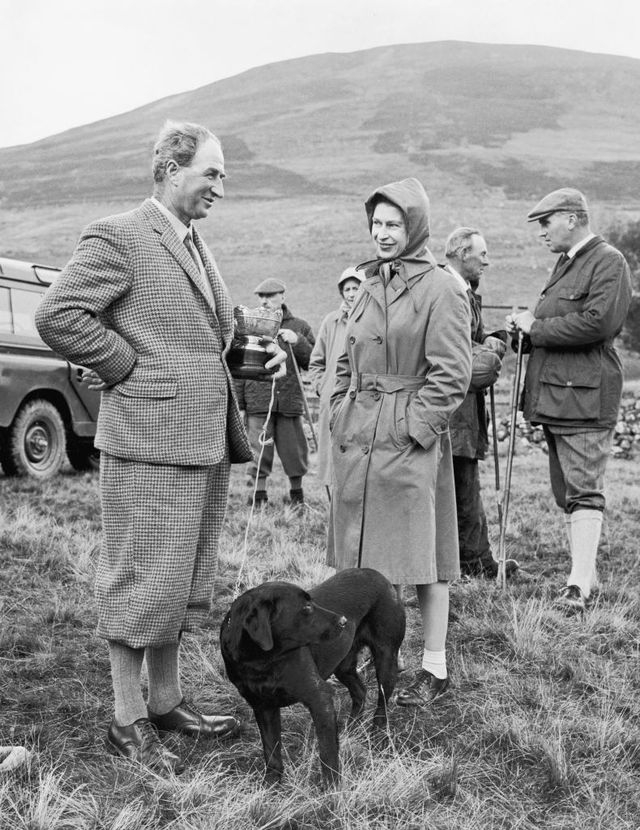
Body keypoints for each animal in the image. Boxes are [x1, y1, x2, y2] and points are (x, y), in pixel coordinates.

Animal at [220, 567, 406, 787]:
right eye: (307, 607)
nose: (344, 621)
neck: (260, 662)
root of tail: (379, 575)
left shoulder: (319, 698)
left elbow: (327, 752)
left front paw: (332, 788)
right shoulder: (263, 706)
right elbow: (271, 749)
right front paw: (271, 784)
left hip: (386, 659)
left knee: (382, 706)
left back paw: (377, 737)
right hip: (343, 665)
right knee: (361, 691)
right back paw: (351, 727)